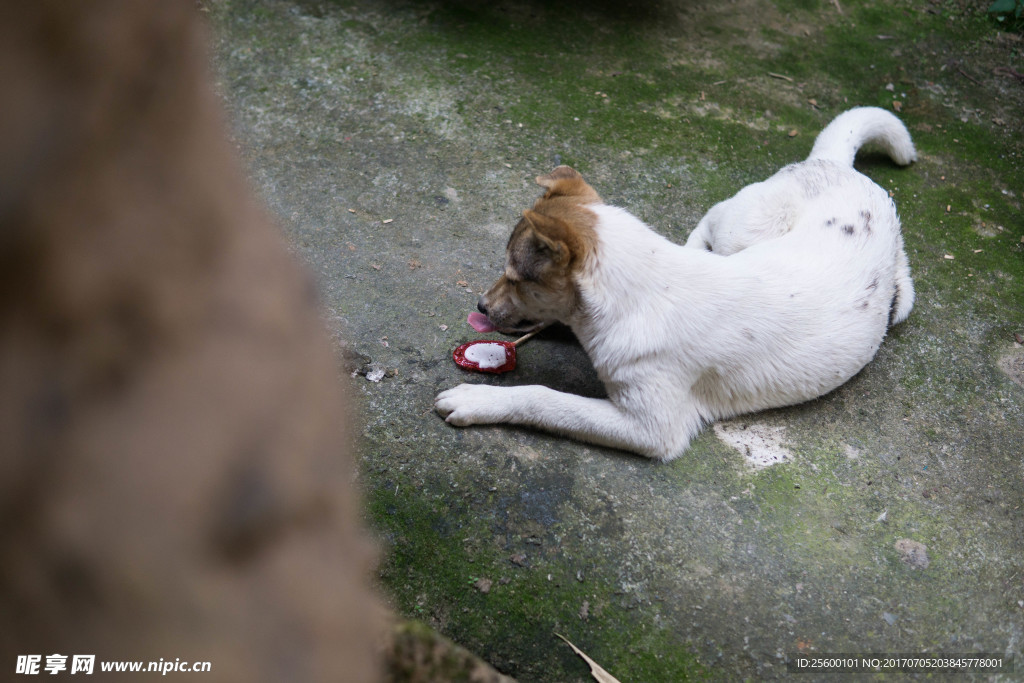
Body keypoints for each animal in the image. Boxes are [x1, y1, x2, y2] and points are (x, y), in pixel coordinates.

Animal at [436, 108, 917, 458]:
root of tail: (835, 165)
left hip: (749, 228)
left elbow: (544, 398)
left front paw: (476, 401)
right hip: (746, 228)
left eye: (516, 277)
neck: (636, 296)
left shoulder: (652, 427)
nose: (480, 307)